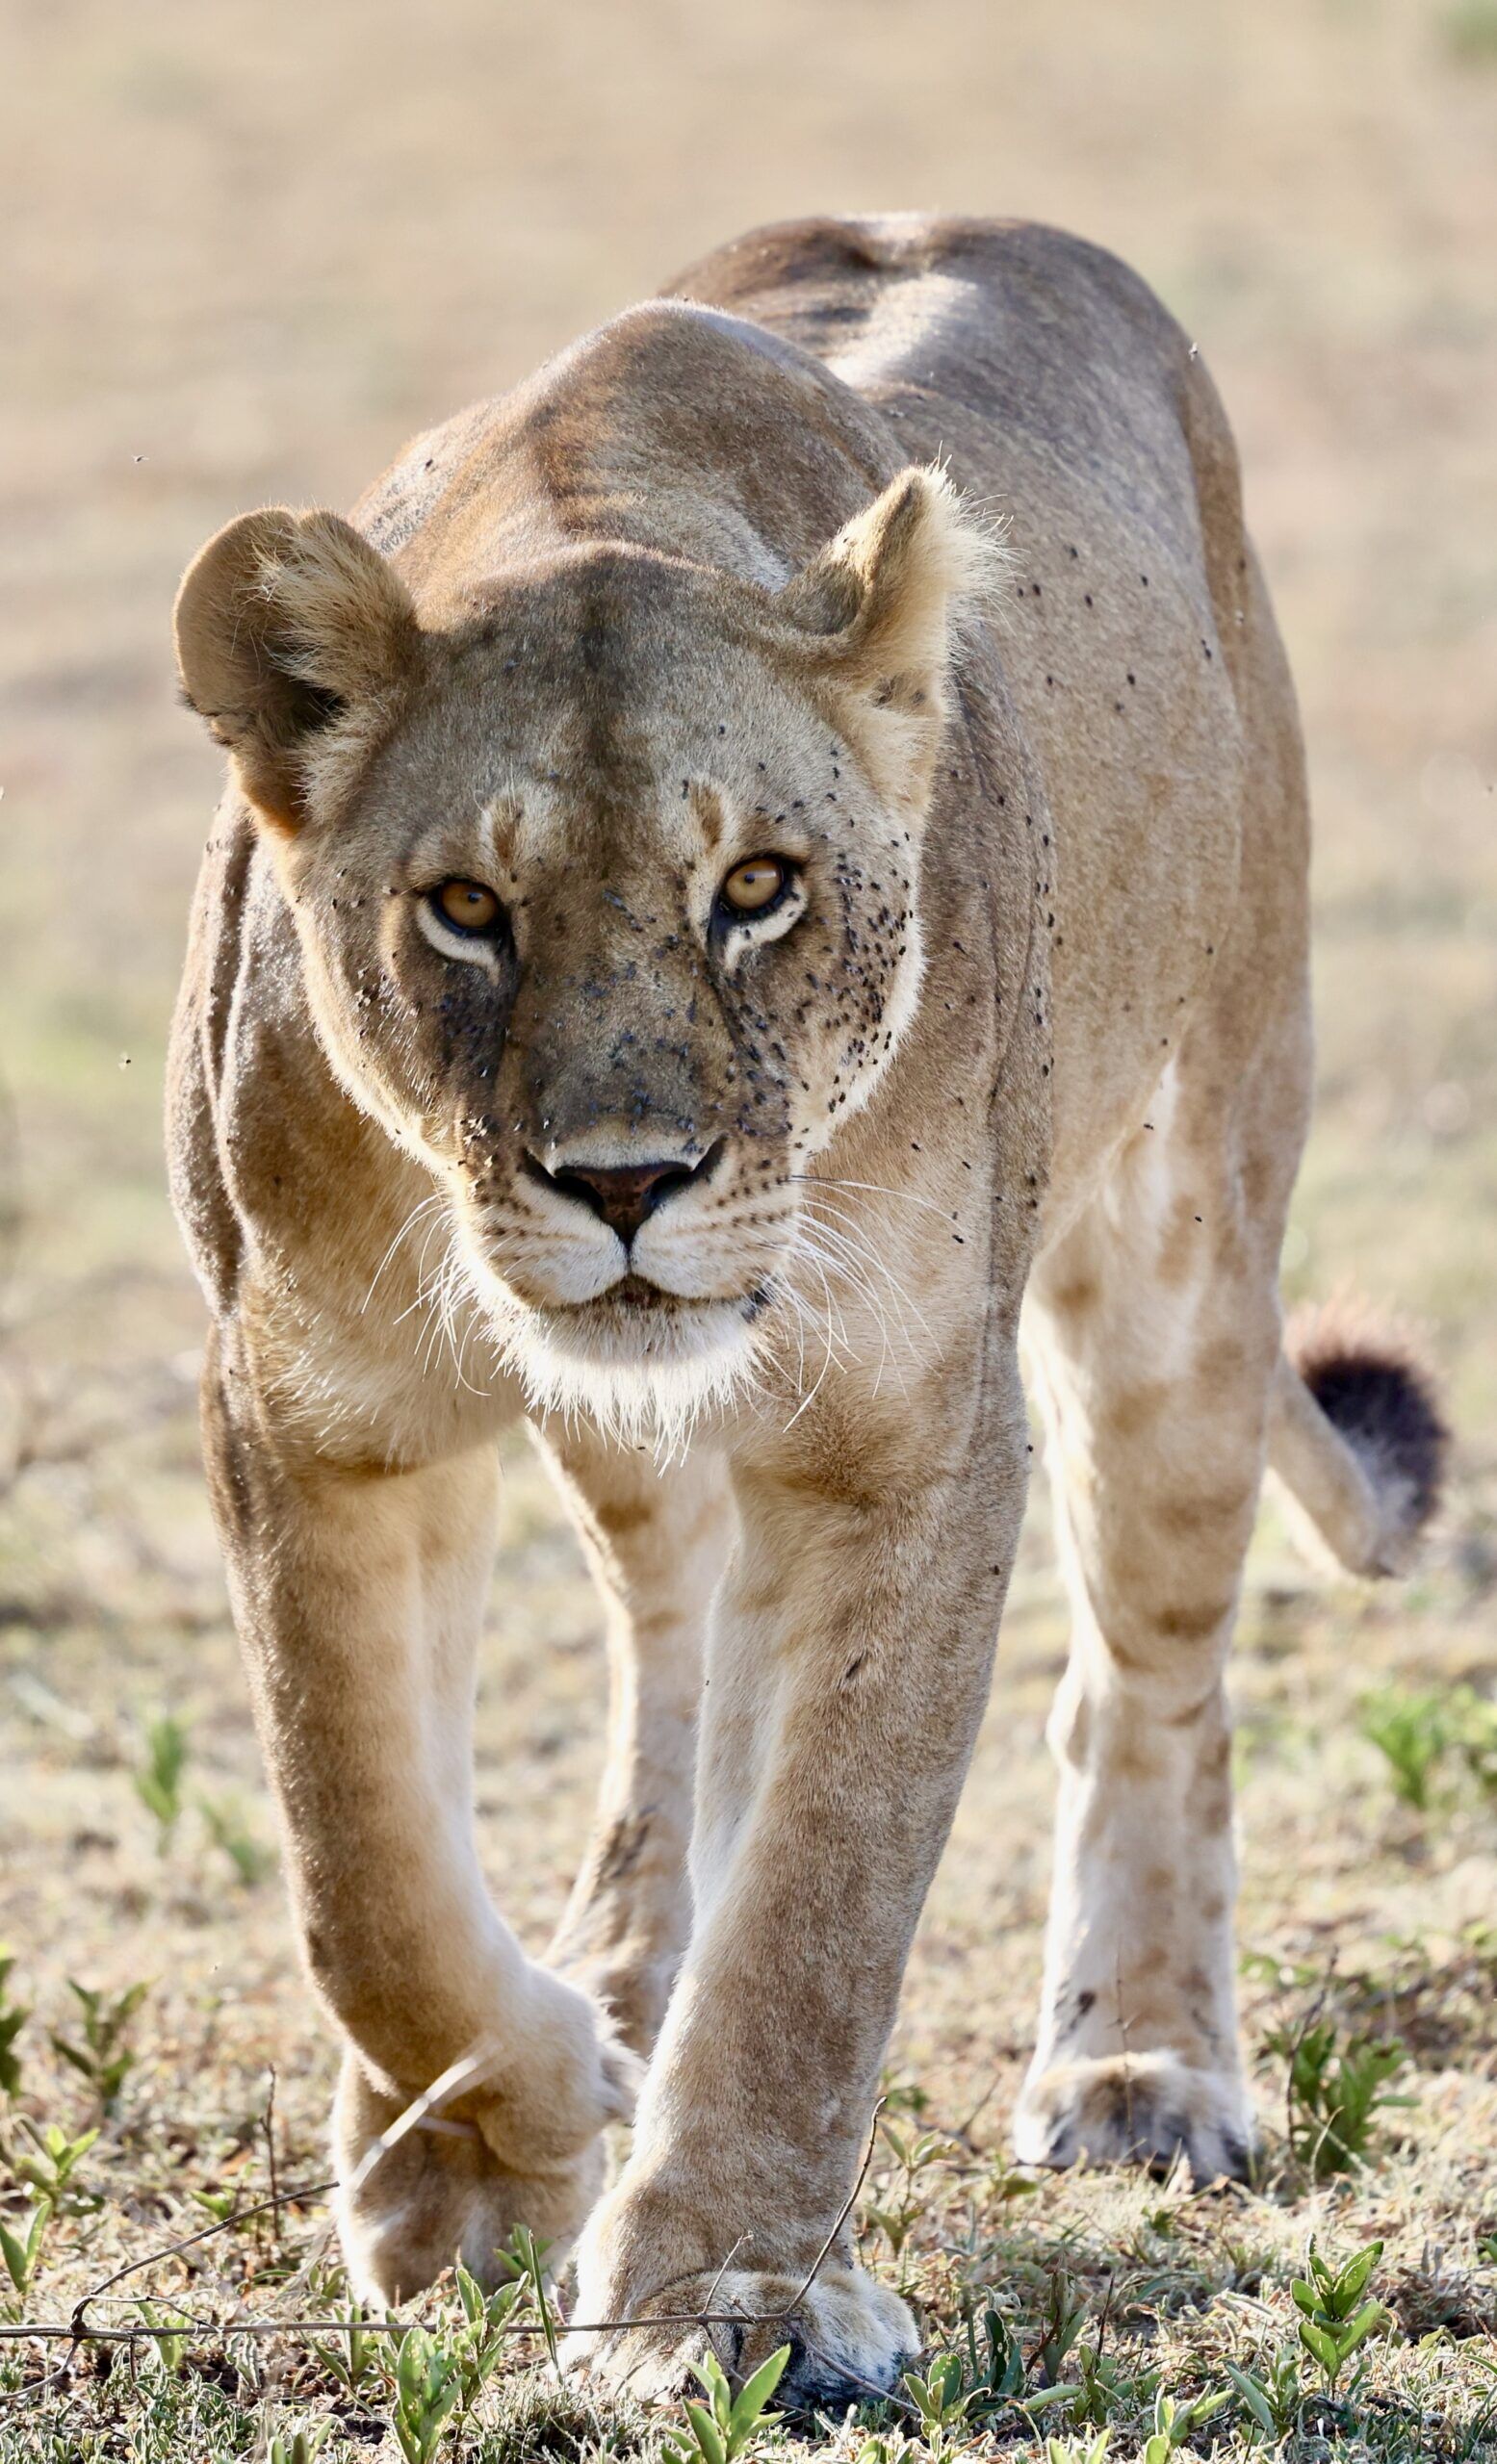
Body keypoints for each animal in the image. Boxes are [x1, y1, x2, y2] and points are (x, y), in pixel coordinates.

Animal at [169, 215, 1446, 2408]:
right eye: (466, 910)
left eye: (755, 887)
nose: (623, 1186)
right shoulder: (314, 1410)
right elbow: (369, 1872)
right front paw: (482, 2157)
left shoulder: (907, 1436)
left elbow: (820, 1900)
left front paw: (727, 2297)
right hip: (632, 1445)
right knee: (672, 1658)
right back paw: (615, 1981)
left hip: (1187, 1242)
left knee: (1145, 1679)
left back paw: (1143, 2070)